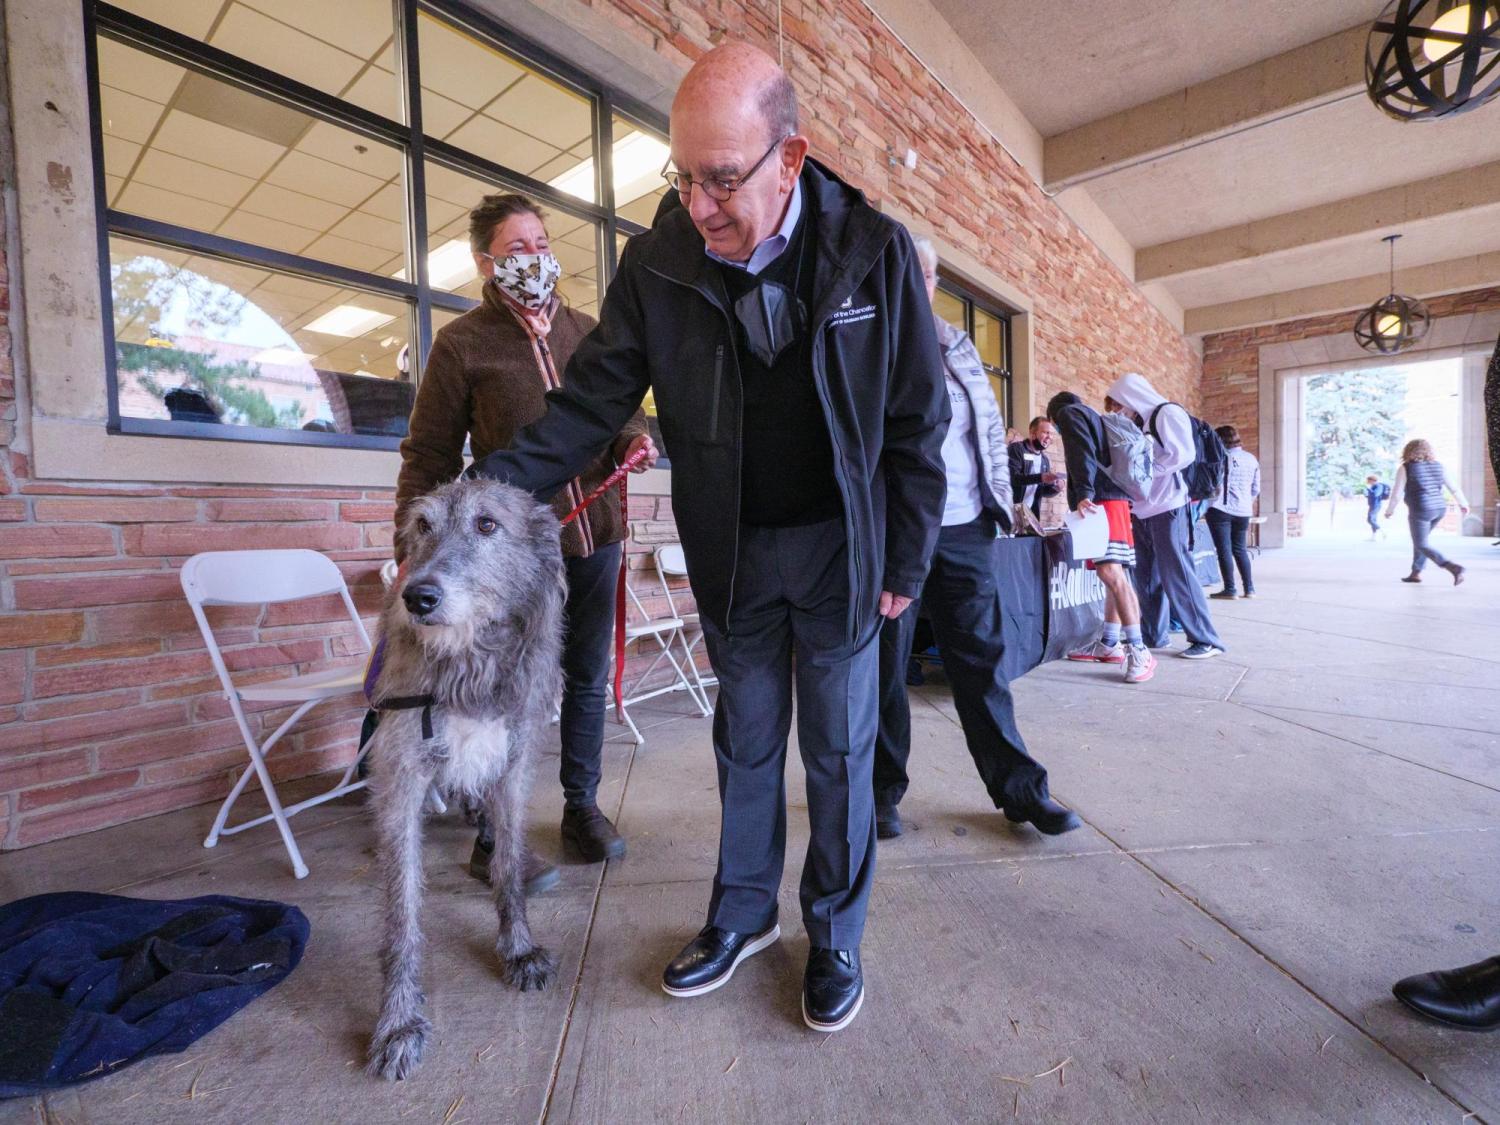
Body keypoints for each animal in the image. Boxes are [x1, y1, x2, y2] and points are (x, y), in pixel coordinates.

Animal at [366, 477, 564, 1086]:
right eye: (423, 525)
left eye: (487, 524)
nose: (418, 597)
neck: (470, 661)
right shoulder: (401, 775)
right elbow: (402, 904)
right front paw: (399, 1020)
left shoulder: (513, 765)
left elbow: (508, 866)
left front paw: (518, 949)